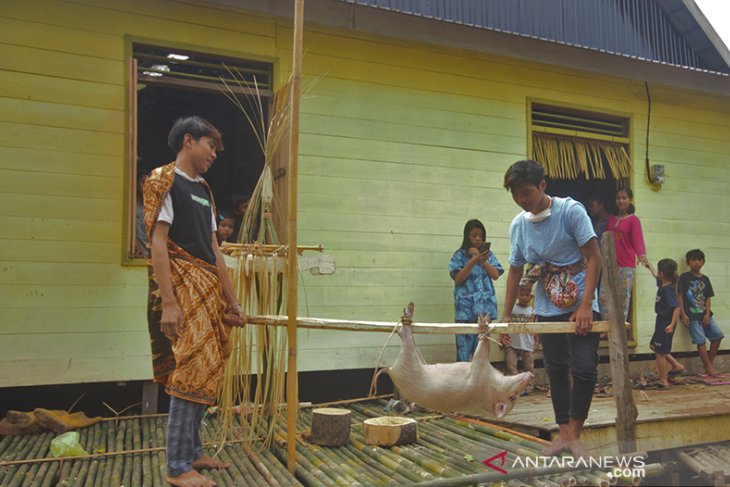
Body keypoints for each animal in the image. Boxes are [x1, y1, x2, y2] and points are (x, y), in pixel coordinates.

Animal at [382, 312, 528, 420]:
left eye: (512, 397)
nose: (530, 374)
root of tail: (391, 371)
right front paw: (485, 317)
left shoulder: (479, 368)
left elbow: (481, 350)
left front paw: (482, 321)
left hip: (408, 360)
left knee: (405, 337)